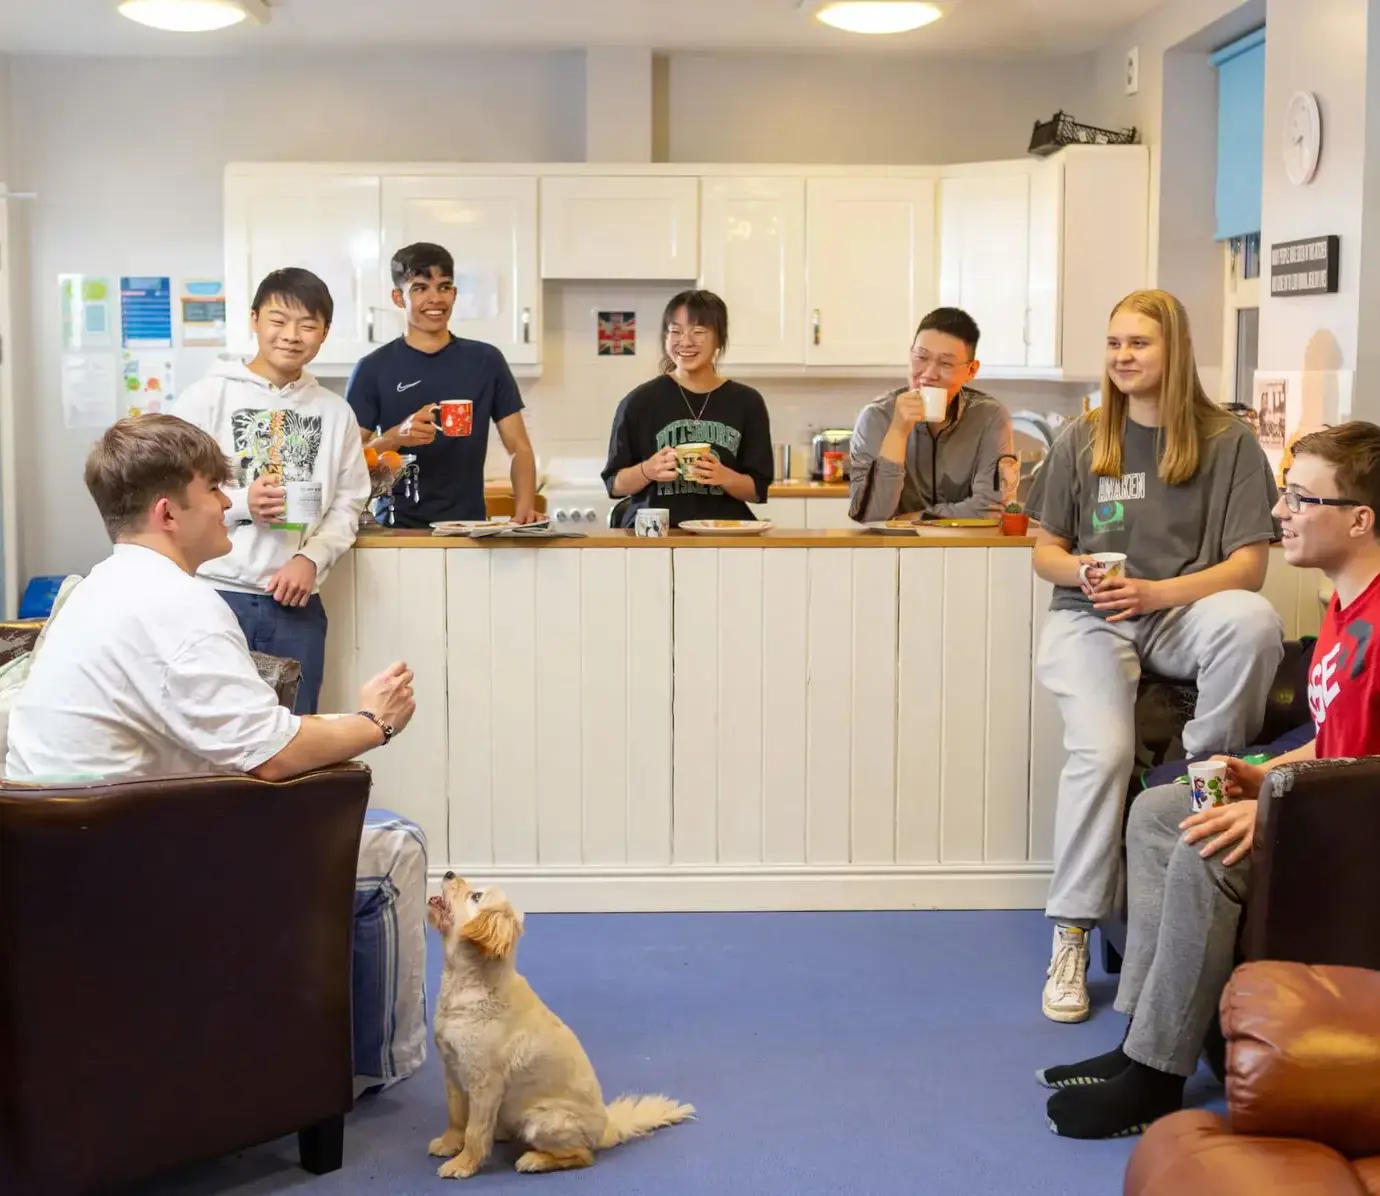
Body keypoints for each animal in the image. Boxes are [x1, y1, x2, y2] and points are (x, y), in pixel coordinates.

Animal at [425, 877, 695, 1180]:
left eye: (475, 896)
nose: (449, 873)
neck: (468, 983)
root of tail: (605, 1130)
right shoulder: (451, 1069)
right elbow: (456, 1117)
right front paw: (449, 1144)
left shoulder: (485, 1083)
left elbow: (474, 1130)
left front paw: (463, 1164)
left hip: (543, 1120)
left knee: (582, 1156)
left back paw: (535, 1160)